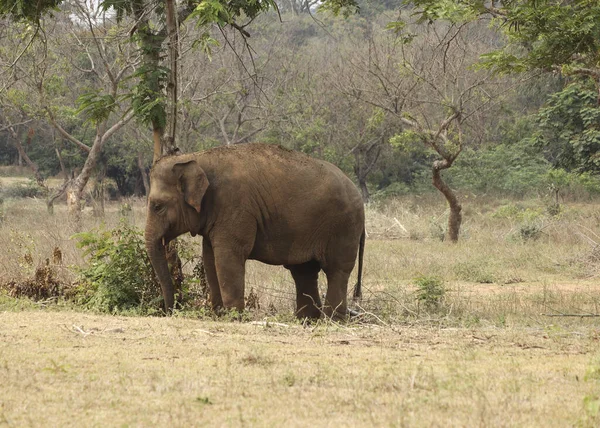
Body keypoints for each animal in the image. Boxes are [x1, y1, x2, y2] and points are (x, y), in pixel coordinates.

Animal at [144, 142, 366, 320]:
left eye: (157, 206)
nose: (169, 311)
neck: (197, 158)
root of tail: (359, 196)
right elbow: (209, 258)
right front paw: (218, 315)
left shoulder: (235, 207)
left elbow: (227, 257)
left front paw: (233, 317)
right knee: (304, 271)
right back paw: (307, 320)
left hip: (343, 227)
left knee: (336, 270)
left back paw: (331, 320)